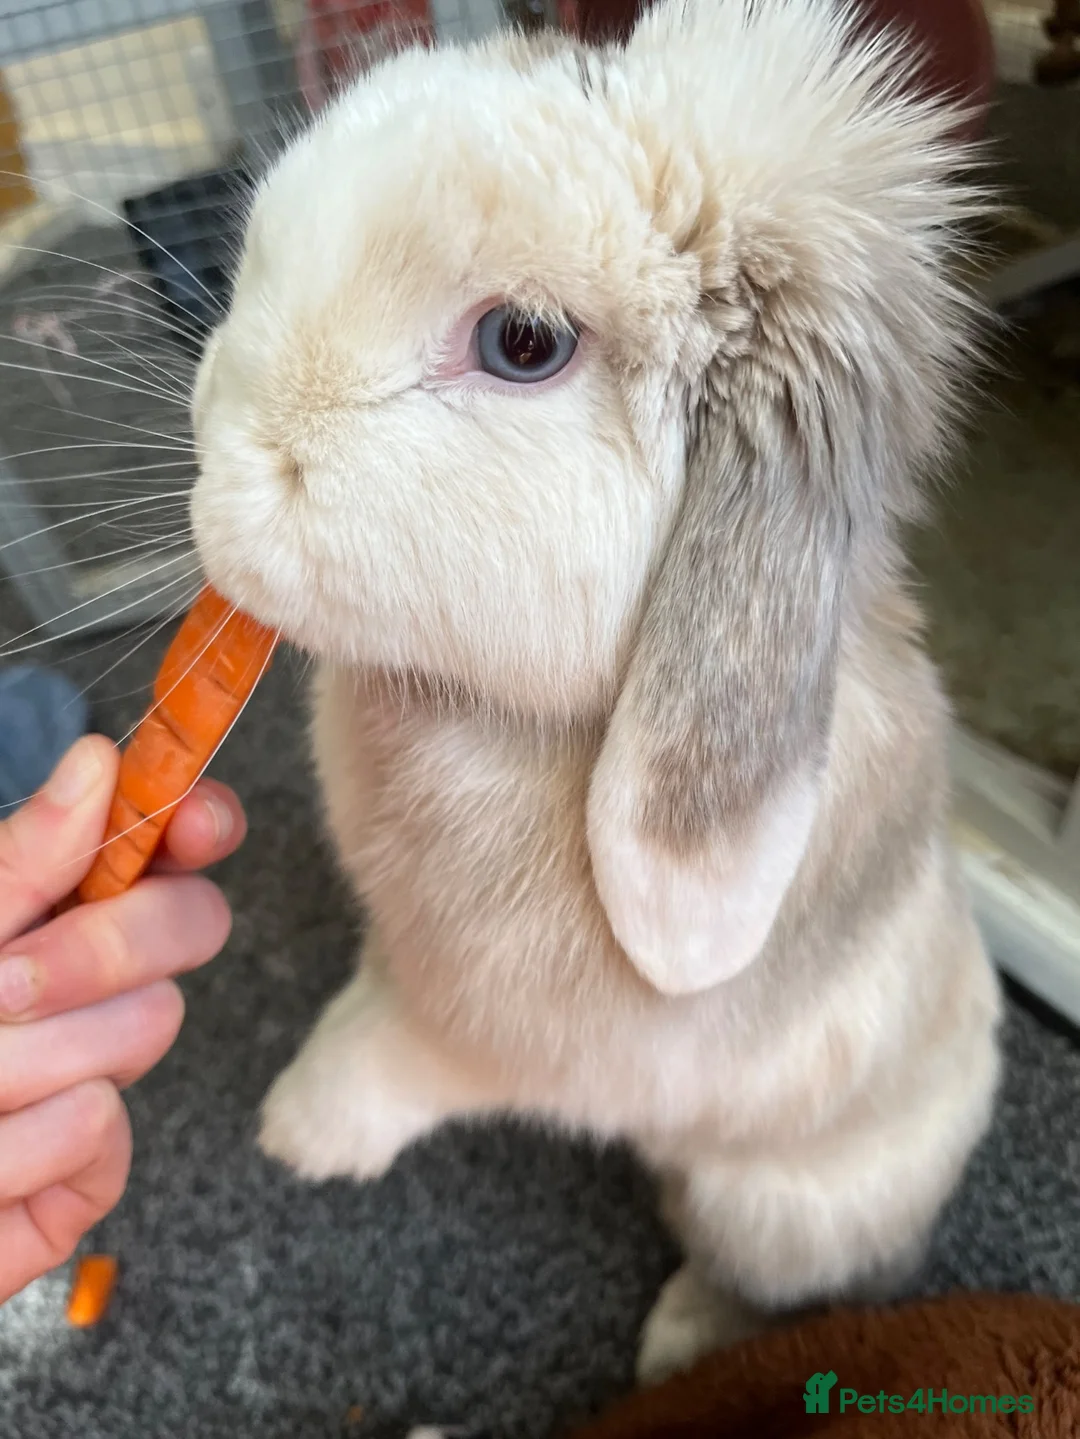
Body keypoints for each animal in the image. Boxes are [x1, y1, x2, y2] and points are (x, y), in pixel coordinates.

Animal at [189, 0, 1004, 1385]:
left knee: (778, 1278)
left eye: (524, 344)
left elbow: (386, 1057)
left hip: (775, 1203)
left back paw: (678, 1344)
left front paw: (296, 1131)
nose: (218, 456)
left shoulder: (478, 1030)